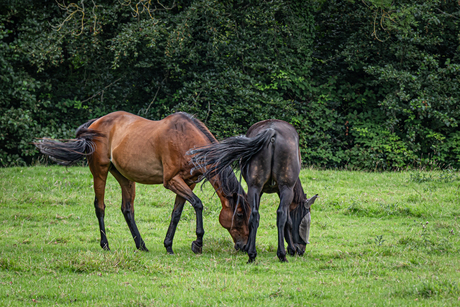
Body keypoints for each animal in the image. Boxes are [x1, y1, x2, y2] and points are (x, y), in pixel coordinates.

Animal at [34, 112, 250, 254]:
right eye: (239, 215)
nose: (243, 246)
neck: (185, 139)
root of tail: (95, 123)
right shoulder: (171, 180)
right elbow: (198, 204)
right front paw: (197, 243)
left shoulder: (188, 183)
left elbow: (176, 214)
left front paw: (168, 245)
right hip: (100, 171)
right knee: (100, 207)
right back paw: (105, 244)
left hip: (125, 177)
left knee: (127, 209)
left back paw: (141, 245)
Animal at [190, 119, 316, 264]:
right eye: (306, 221)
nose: (301, 250)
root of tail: (272, 132)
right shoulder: (283, 191)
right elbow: (288, 221)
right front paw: (291, 249)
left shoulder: (260, 191)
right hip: (286, 188)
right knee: (281, 215)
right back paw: (281, 254)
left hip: (255, 187)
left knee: (254, 215)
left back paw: (252, 254)